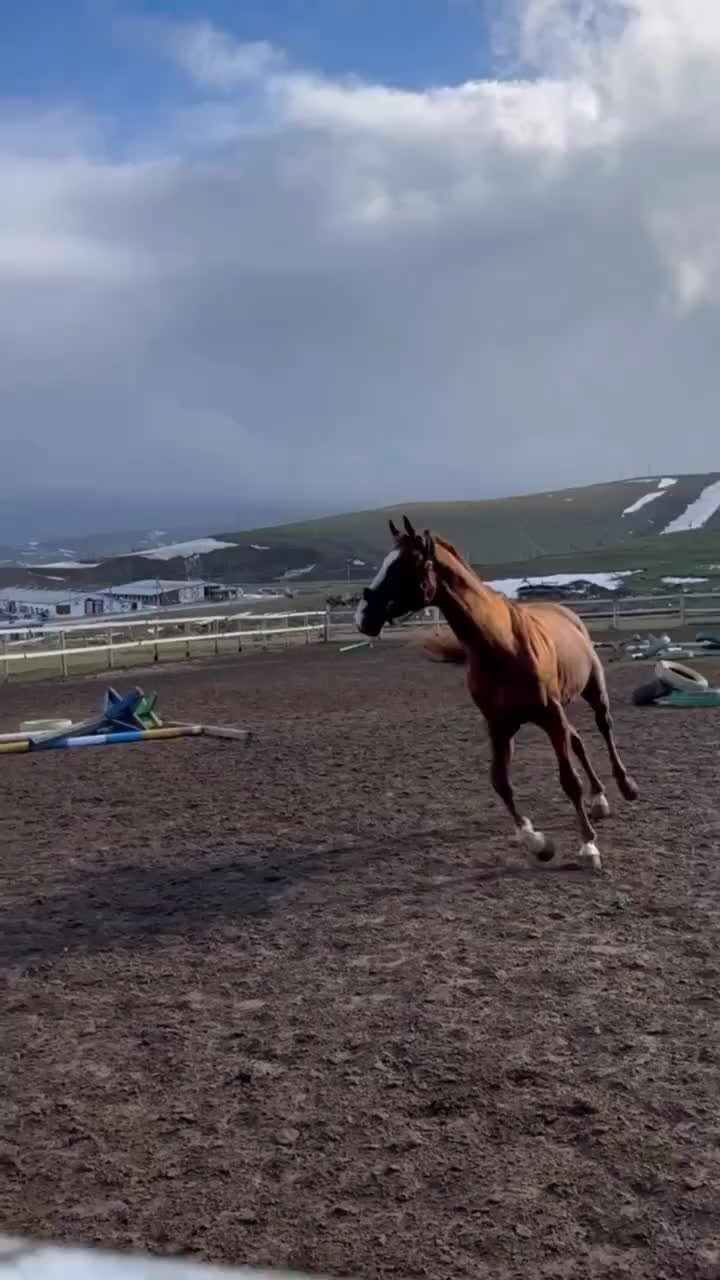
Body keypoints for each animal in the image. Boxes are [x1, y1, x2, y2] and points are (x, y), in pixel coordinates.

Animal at [353, 517, 632, 870]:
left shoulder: (549, 715)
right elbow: (500, 782)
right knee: (578, 741)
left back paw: (625, 787)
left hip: (592, 692)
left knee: (604, 728)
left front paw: (588, 846)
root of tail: (567, 613)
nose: (362, 616)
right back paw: (599, 799)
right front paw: (537, 842)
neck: (502, 646)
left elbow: (569, 782)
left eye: (405, 564)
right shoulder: (499, 726)